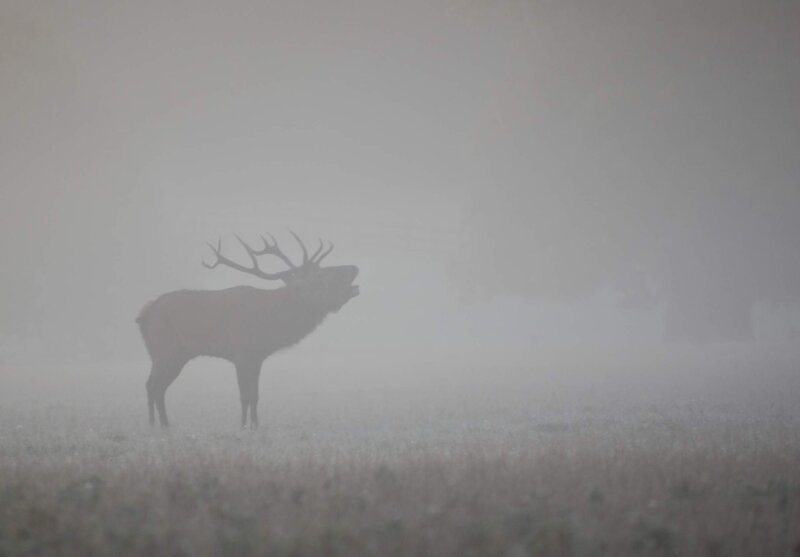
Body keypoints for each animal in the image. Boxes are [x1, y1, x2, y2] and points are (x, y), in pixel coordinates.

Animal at [136, 232, 359, 428]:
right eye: (322, 276)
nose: (354, 267)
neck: (270, 324)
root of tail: (144, 314)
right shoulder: (241, 354)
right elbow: (245, 395)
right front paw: (243, 426)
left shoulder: (257, 357)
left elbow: (255, 395)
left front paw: (256, 425)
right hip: (164, 350)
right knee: (152, 386)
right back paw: (154, 425)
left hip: (176, 355)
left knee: (157, 387)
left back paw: (163, 425)